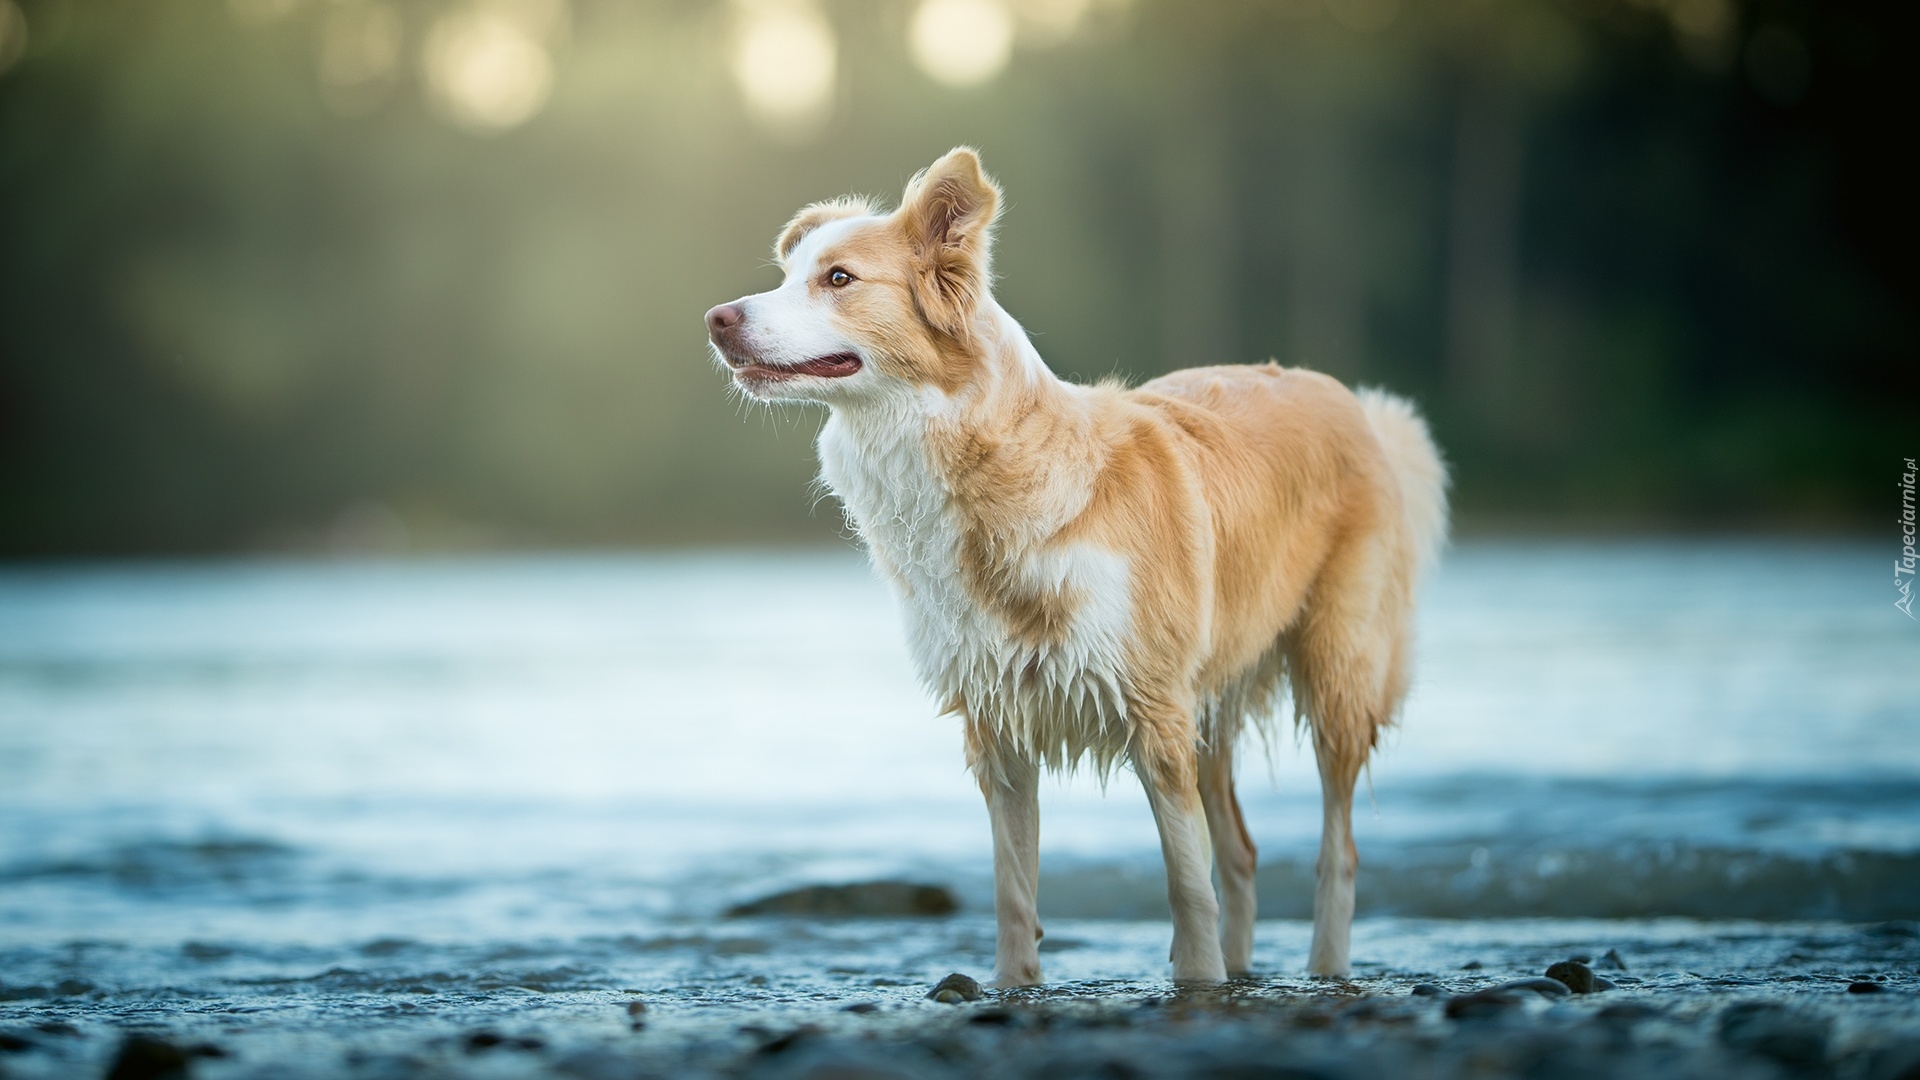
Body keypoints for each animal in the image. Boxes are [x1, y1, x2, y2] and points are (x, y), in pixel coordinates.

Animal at [714, 147, 1443, 980]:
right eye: (787, 273)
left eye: (838, 278)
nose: (717, 320)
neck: (983, 464)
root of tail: (1350, 399)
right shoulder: (998, 731)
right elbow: (1014, 894)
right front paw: (1013, 985)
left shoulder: (1156, 716)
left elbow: (1185, 886)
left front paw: (1197, 983)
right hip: (1211, 701)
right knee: (1241, 853)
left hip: (1334, 675)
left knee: (1338, 848)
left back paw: (1323, 966)